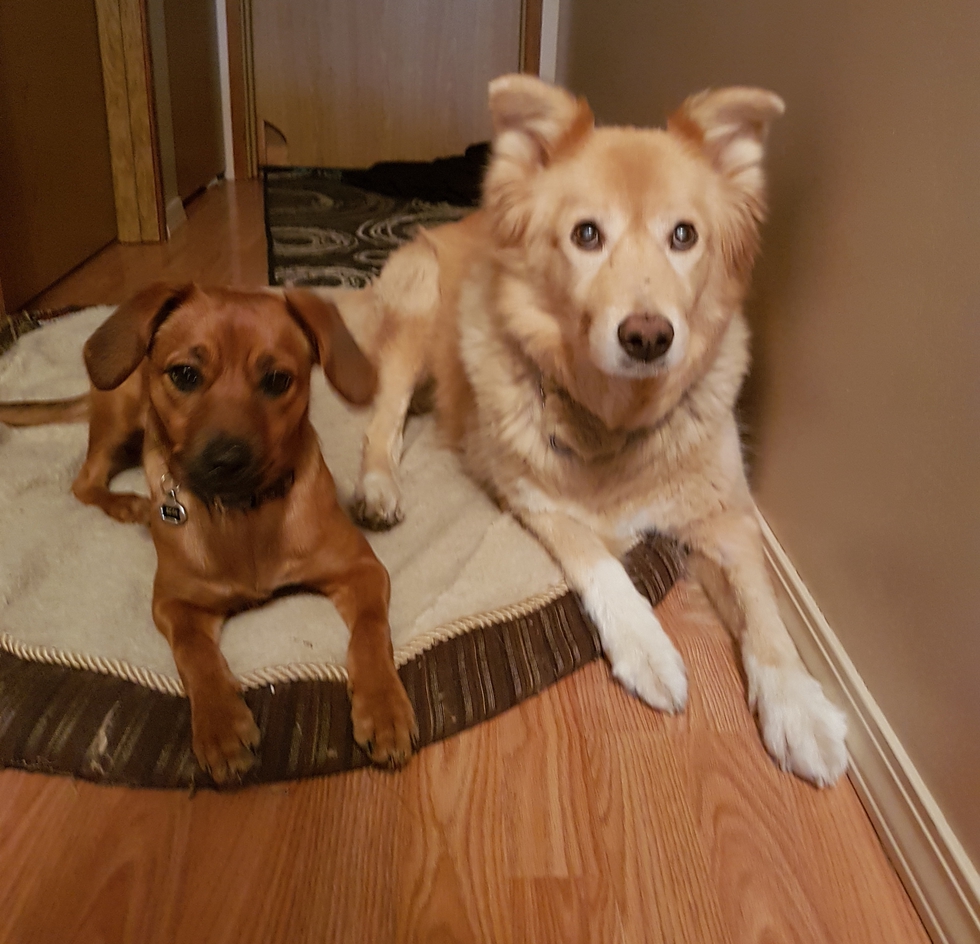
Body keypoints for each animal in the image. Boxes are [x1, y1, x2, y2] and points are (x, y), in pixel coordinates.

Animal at [0, 285, 418, 782]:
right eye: (184, 374)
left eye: (277, 380)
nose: (227, 459)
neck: (241, 515)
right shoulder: (175, 603)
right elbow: (194, 653)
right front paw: (220, 724)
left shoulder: (362, 569)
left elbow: (371, 634)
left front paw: (384, 708)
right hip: (120, 416)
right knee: (84, 480)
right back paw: (129, 505)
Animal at [338, 75, 848, 786]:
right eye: (586, 234)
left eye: (684, 235)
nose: (648, 337)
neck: (617, 415)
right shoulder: (533, 496)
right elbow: (599, 561)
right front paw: (646, 646)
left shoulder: (726, 517)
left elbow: (764, 609)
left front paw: (799, 706)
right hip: (416, 311)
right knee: (384, 416)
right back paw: (380, 487)